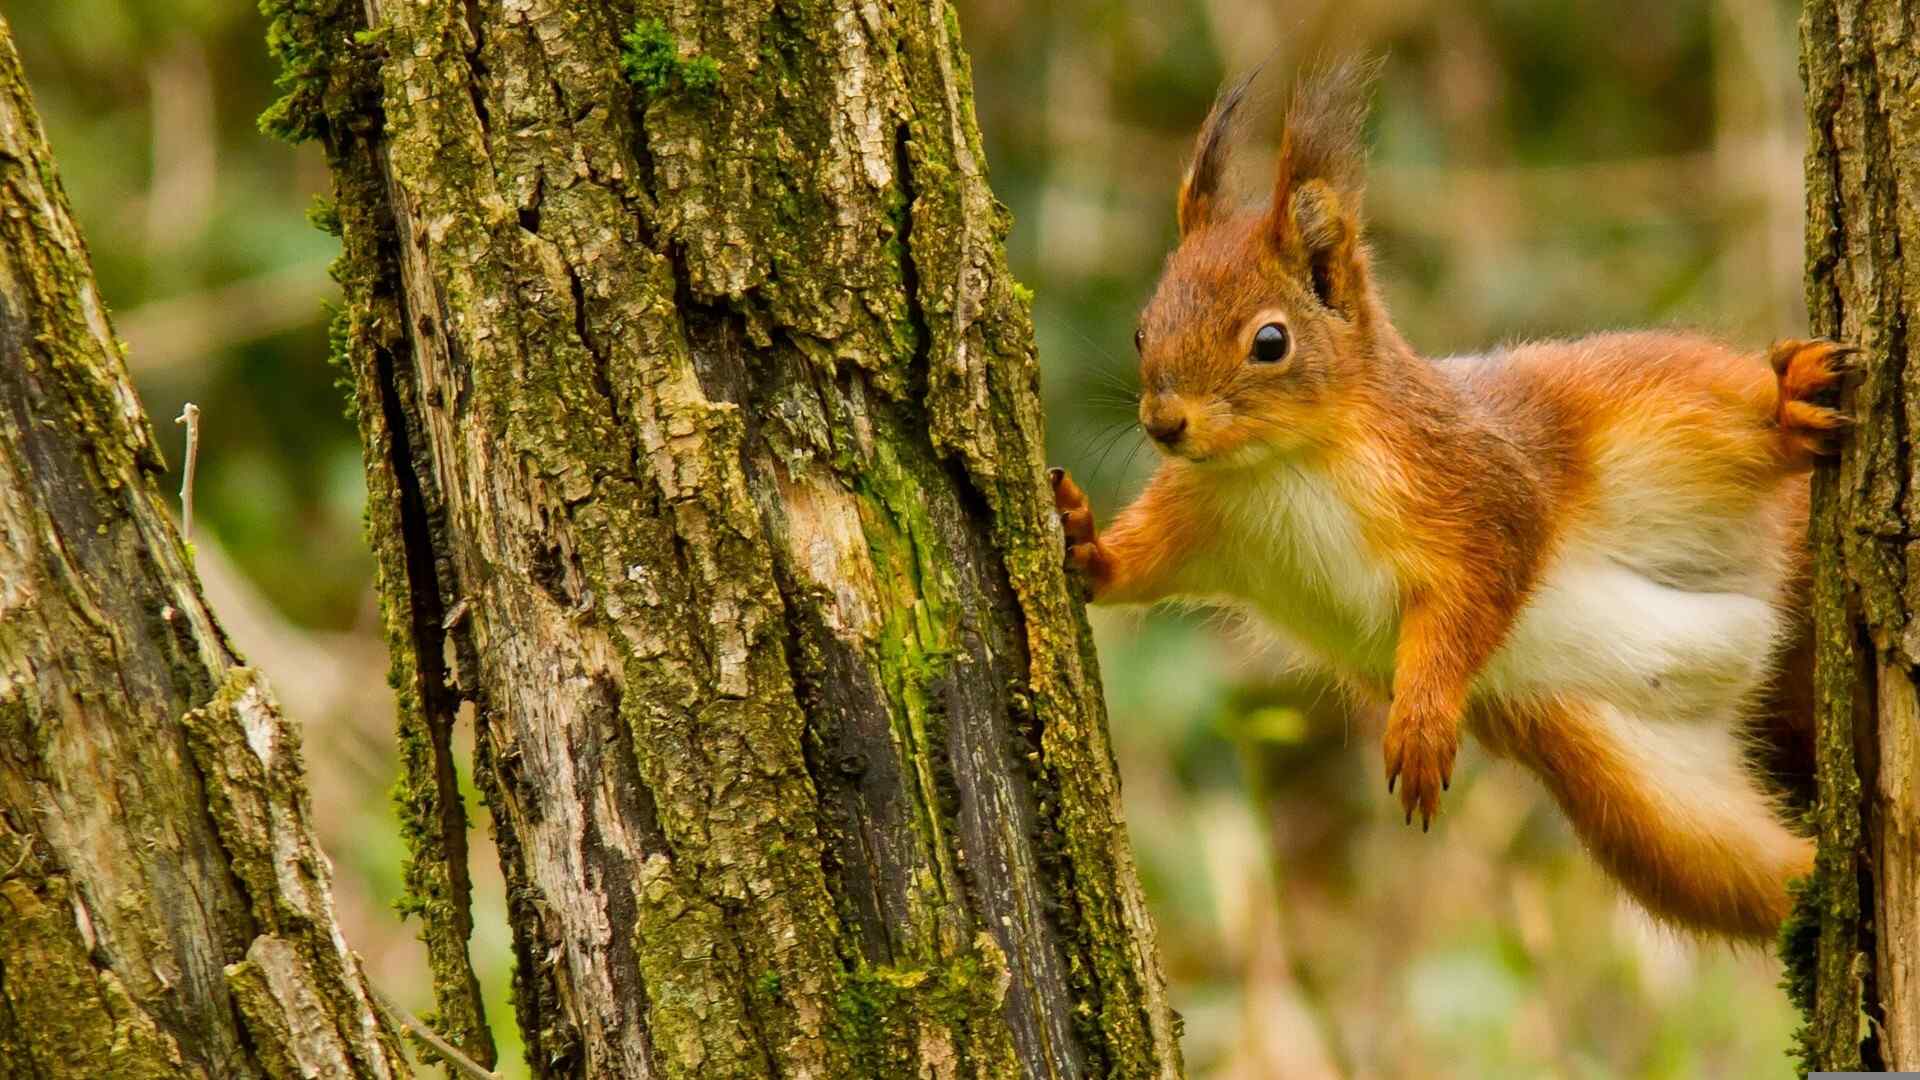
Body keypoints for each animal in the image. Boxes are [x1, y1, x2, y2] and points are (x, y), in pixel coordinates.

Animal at [1052, 61, 1843, 933]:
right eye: (1141, 328)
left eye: (1270, 342)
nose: (1163, 424)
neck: (1281, 466)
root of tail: (1767, 612)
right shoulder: (1202, 517)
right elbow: (1143, 565)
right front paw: (1083, 541)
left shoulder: (1475, 486)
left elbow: (1475, 596)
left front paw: (1422, 722)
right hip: (1640, 800)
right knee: (1754, 876)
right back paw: (1815, 887)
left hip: (1659, 412)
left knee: (1738, 419)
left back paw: (1788, 406)